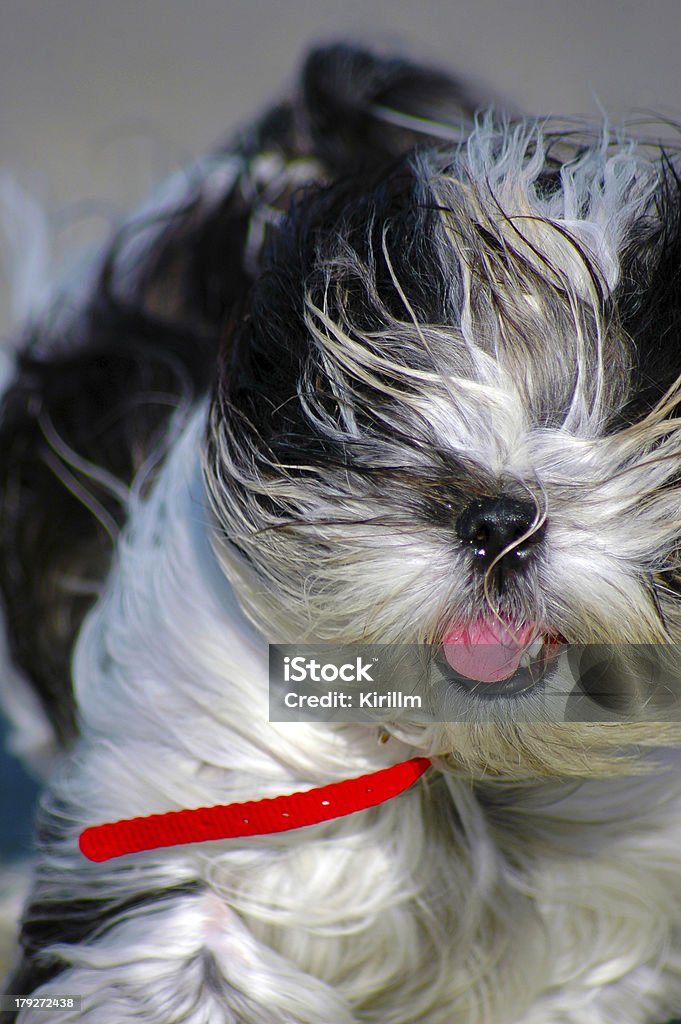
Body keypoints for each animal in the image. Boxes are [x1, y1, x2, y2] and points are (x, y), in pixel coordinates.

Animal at [0, 44, 679, 1024]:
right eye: (368, 397)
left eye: (629, 401)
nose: (497, 519)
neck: (461, 766)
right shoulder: (174, 800)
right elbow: (183, 945)